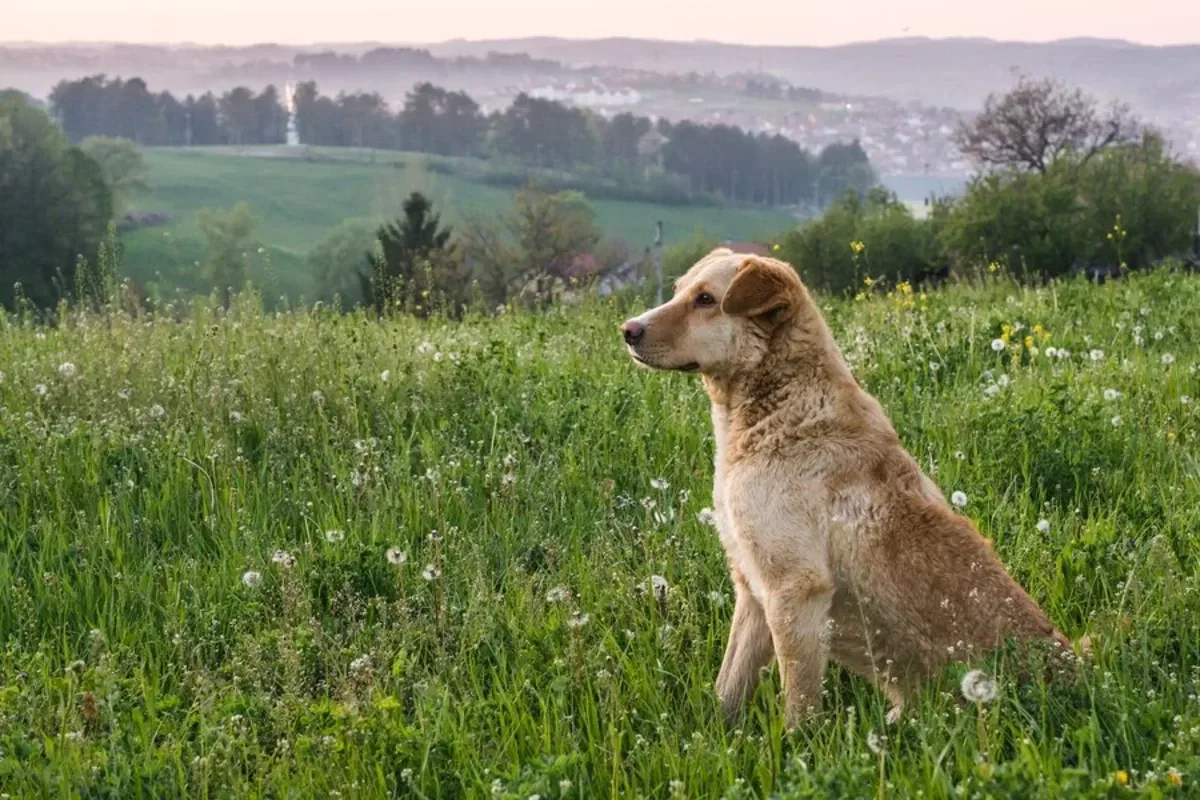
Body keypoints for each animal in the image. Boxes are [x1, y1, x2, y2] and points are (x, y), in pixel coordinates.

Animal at [624, 251, 1065, 734]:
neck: (781, 415)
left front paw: (796, 750)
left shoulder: (795, 590)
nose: (627, 330)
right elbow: (728, 689)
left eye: (705, 300)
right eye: (678, 290)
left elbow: (798, 705)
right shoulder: (752, 590)